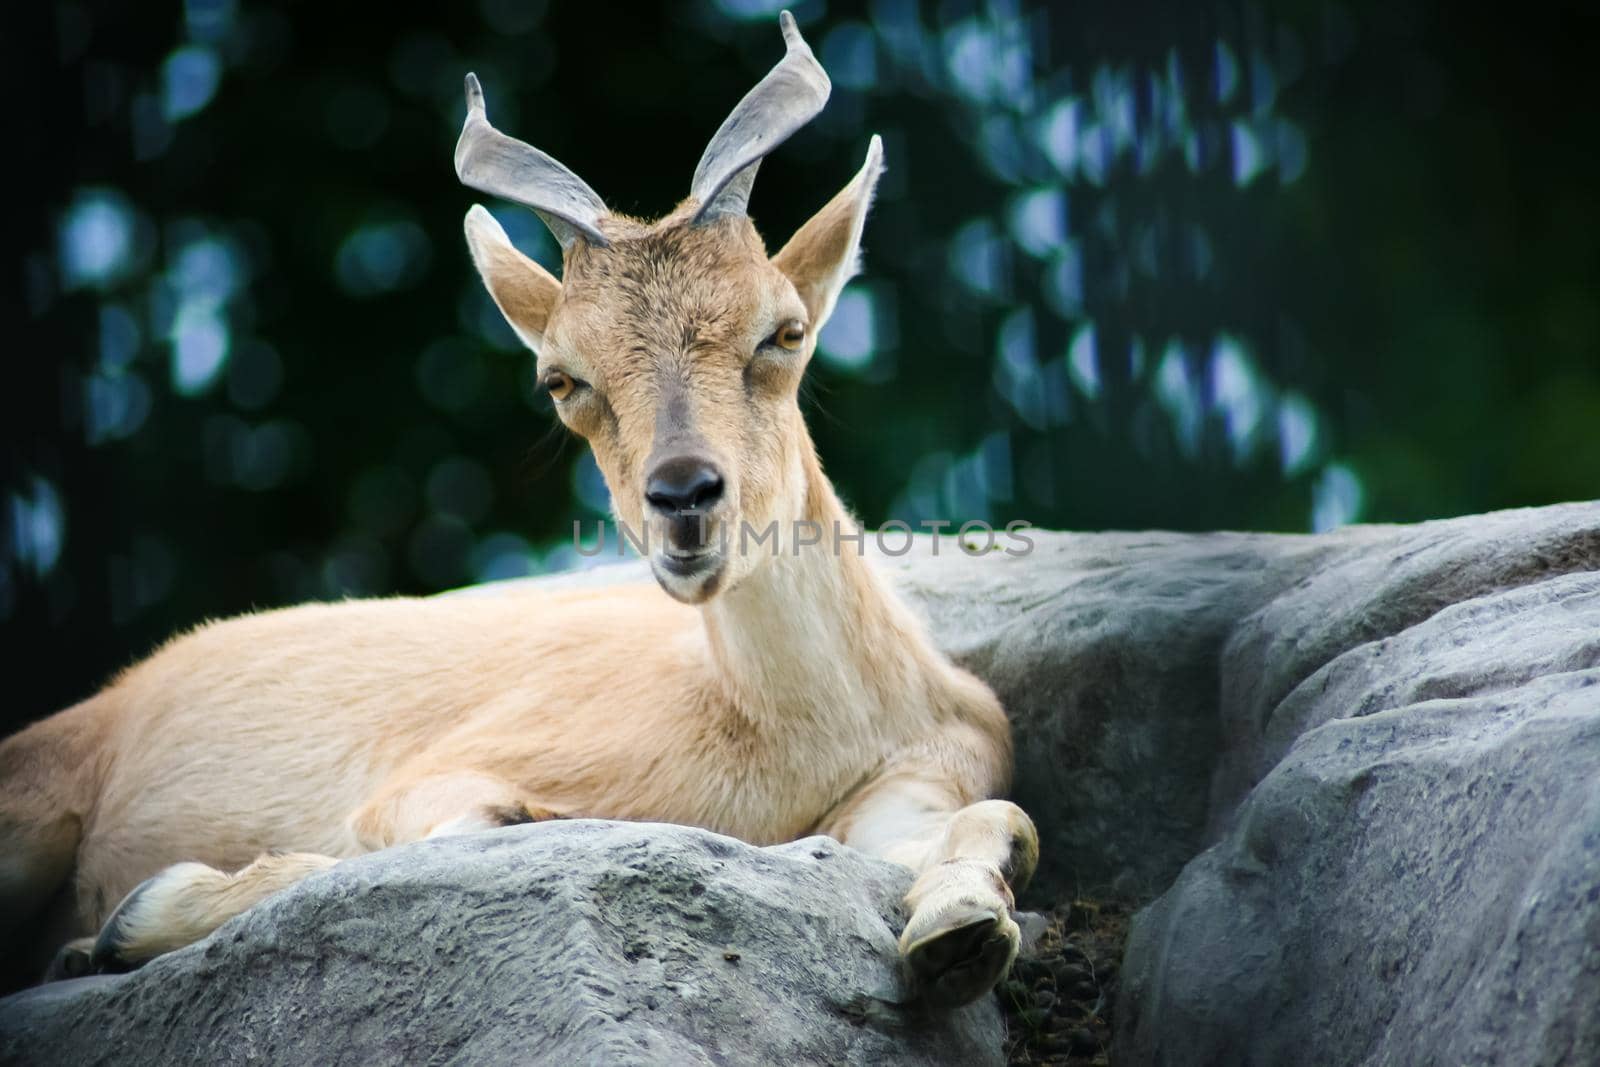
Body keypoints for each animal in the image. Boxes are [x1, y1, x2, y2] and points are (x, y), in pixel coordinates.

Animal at [0, 14, 1036, 1011]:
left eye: (784, 331)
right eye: (561, 378)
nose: (685, 500)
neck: (789, 730)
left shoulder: (920, 775)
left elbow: (1002, 821)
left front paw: (959, 931)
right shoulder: (436, 777)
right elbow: (452, 830)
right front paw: (134, 917)